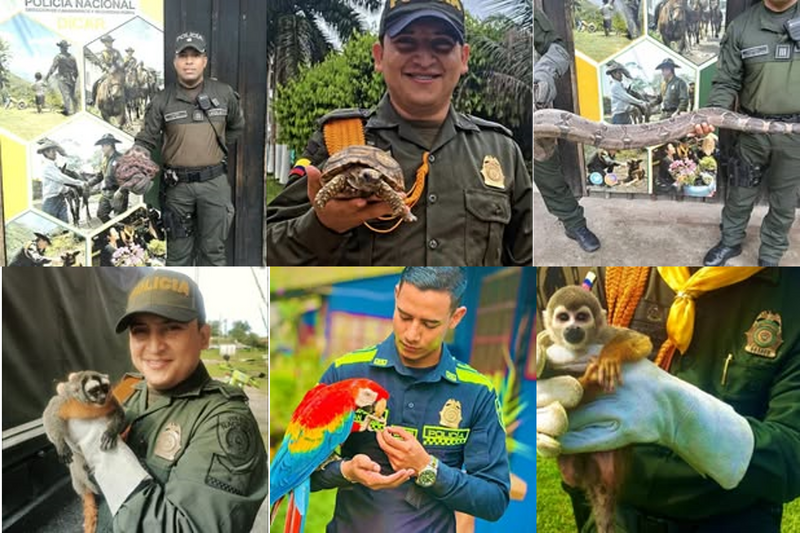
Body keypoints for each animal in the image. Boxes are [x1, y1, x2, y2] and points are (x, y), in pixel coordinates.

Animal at [42, 370, 125, 532]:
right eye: (94, 390)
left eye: (105, 388)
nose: (103, 397)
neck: (89, 406)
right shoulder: (66, 399)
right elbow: (50, 414)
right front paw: (60, 445)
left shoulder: (110, 401)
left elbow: (119, 412)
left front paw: (111, 433)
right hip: (76, 465)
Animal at [540, 286, 652, 532]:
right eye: (564, 317)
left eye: (582, 317)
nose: (573, 328)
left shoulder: (605, 334)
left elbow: (640, 340)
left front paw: (609, 356)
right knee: (571, 475)